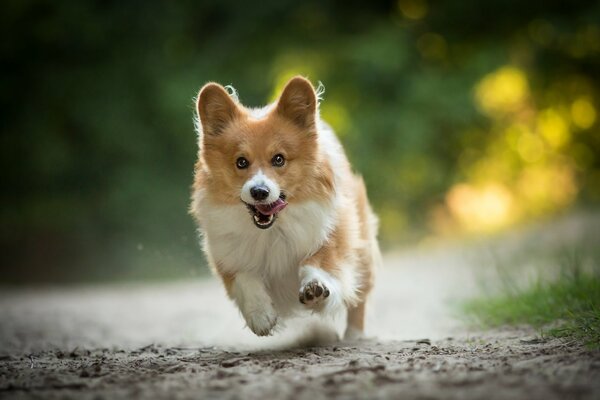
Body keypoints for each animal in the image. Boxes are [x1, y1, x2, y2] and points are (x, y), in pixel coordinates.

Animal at [191, 76, 380, 340]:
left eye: (278, 159)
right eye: (241, 162)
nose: (259, 191)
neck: (272, 229)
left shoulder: (333, 232)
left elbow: (318, 261)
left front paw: (314, 287)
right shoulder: (227, 254)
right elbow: (245, 277)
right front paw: (261, 315)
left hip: (363, 251)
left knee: (359, 296)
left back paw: (354, 336)